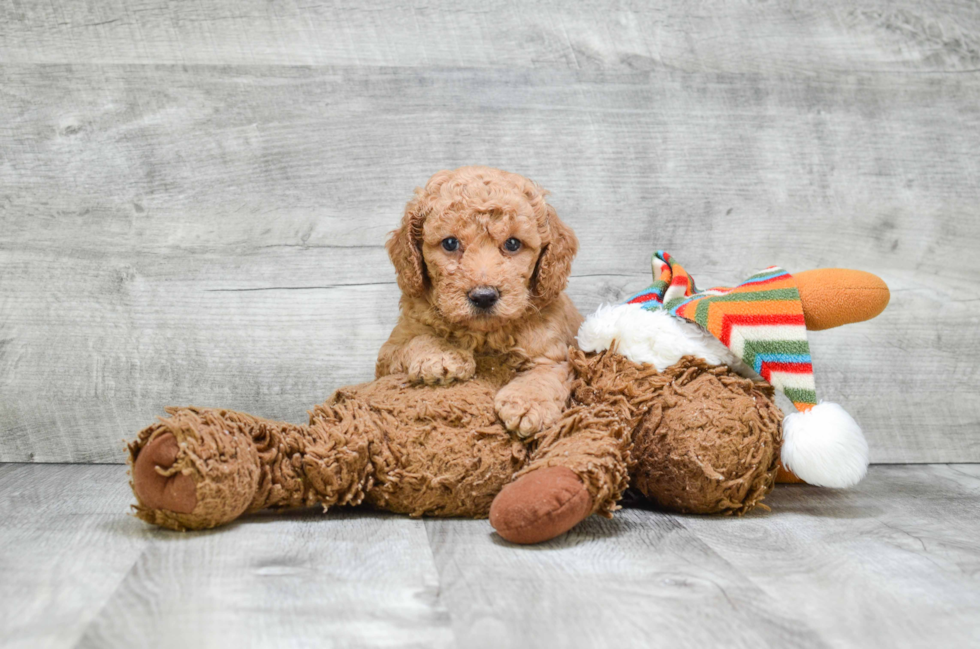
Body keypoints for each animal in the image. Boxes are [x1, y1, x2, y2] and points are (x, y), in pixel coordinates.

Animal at [378, 166, 580, 436]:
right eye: (450, 243)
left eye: (513, 243)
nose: (484, 296)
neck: (484, 334)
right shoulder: (388, 353)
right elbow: (418, 339)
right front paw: (442, 356)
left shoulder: (554, 353)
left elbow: (545, 373)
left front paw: (528, 403)